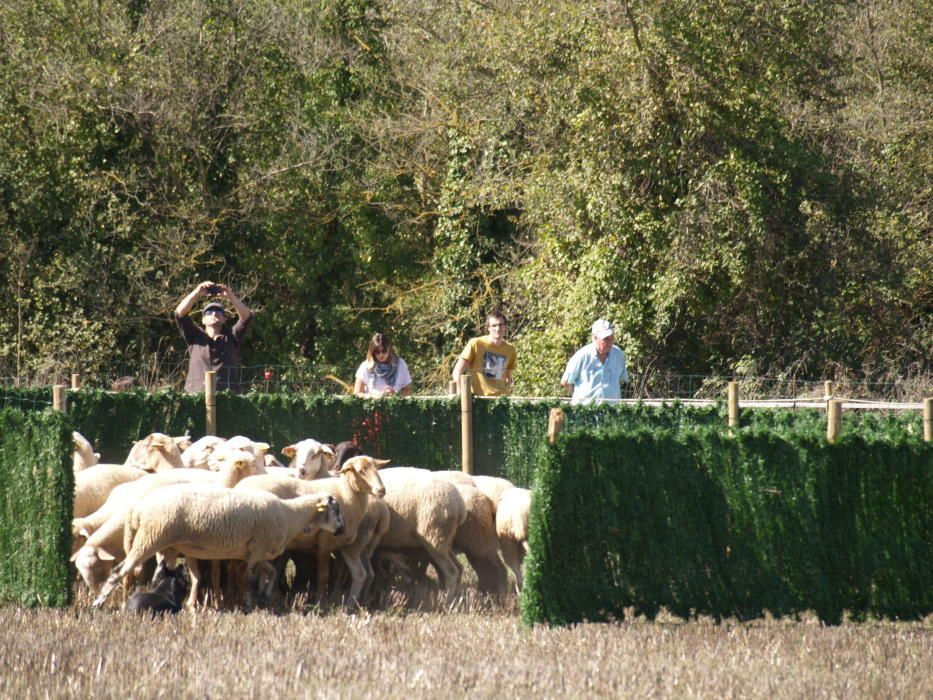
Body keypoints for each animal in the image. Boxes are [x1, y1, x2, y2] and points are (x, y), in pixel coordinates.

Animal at [92, 484, 346, 608]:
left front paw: (265, 597)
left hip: (166, 546)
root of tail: (137, 508)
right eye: (336, 509)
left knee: (159, 574)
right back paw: (97, 604)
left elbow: (272, 572)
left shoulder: (257, 552)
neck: (291, 515)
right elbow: (251, 580)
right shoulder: (256, 551)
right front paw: (249, 605)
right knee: (119, 571)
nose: (342, 530)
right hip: (150, 538)